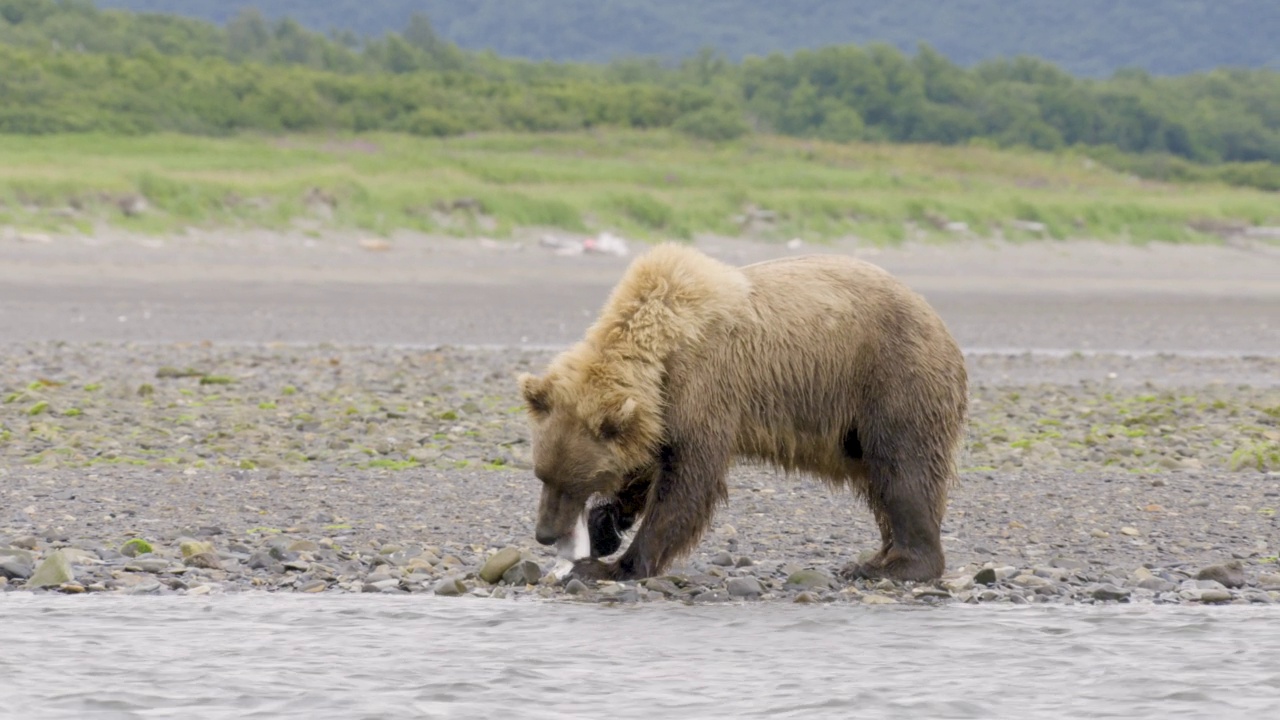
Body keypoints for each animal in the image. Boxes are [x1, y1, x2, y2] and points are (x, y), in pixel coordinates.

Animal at [514, 243, 962, 579]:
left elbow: (687, 482)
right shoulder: (661, 411)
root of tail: (939, 321)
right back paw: (878, 555)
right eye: (542, 474)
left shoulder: (705, 387)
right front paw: (606, 525)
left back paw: (892, 565)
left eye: (574, 482)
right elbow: (646, 465)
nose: (544, 534)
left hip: (891, 378)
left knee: (902, 471)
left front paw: (615, 566)